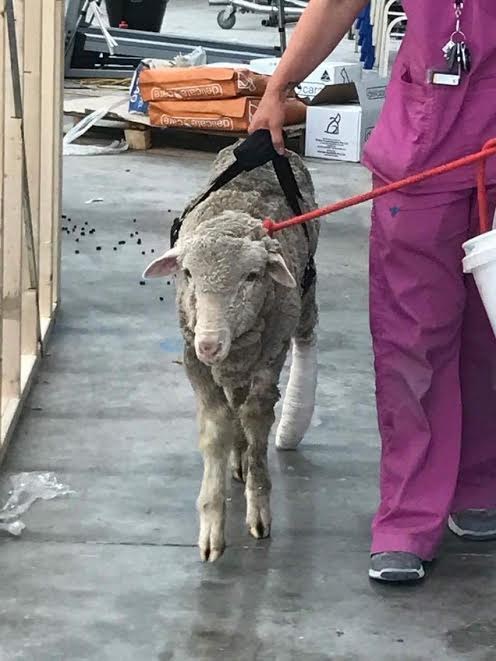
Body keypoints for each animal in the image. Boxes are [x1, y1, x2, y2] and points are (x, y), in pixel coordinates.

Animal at [144, 143, 319, 562]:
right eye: (187, 273)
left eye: (253, 276)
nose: (209, 343)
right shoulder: (194, 360)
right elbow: (216, 427)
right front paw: (211, 522)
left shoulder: (270, 354)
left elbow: (256, 420)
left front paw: (258, 507)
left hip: (303, 305)